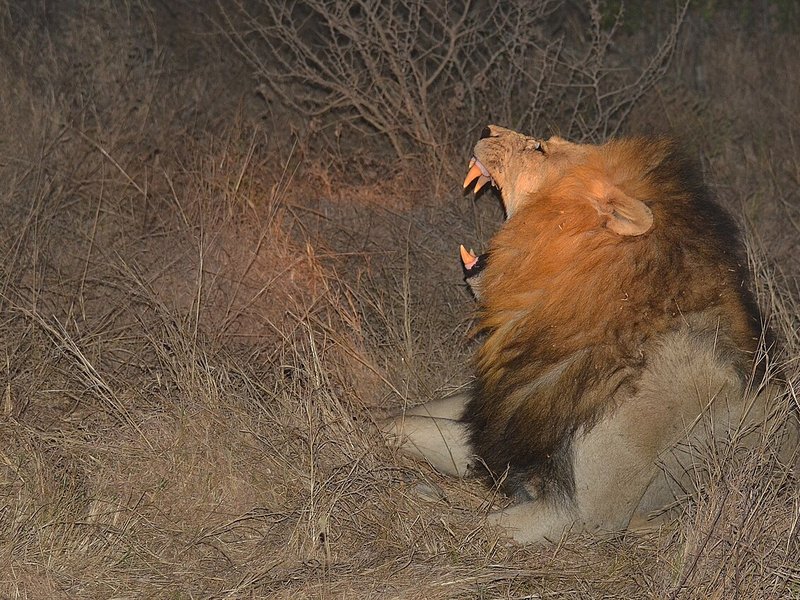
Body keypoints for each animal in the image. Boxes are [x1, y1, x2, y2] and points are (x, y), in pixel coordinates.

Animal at [384, 125, 797, 543]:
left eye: (540, 148)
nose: (487, 130)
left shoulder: (583, 517)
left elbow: (464, 529)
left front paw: (419, 496)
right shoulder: (507, 425)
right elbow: (398, 423)